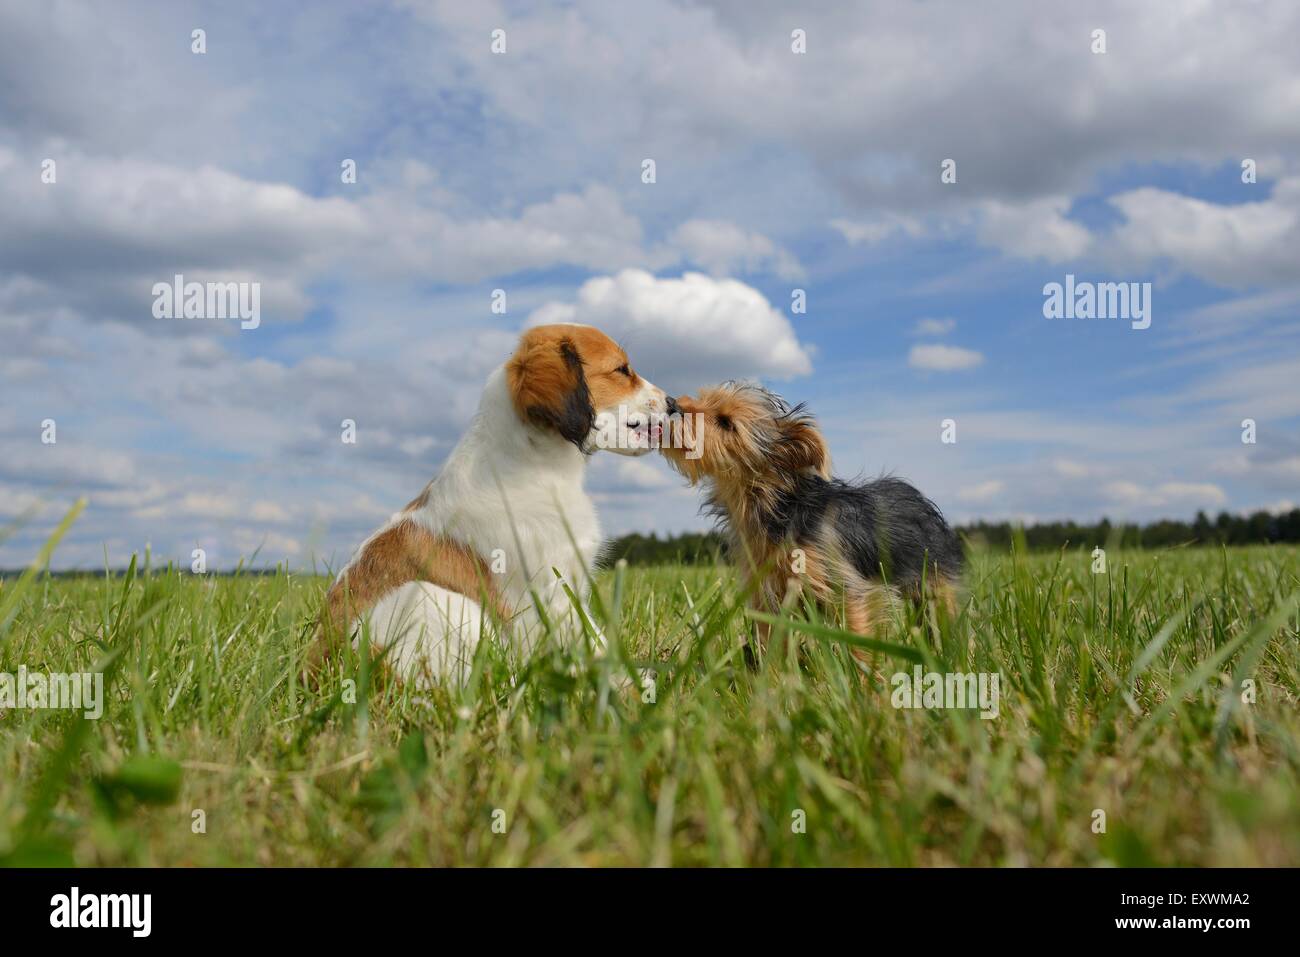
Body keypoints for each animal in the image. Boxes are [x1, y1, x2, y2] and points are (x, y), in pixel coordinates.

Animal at [306, 325, 670, 686]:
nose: (673, 405)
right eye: (622, 370)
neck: (534, 462)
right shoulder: (551, 592)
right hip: (430, 597)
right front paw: (630, 686)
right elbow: (595, 646)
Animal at [665, 382, 961, 642]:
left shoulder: (848, 589)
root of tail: (919, 498)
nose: (673, 404)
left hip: (935, 581)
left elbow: (859, 639)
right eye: (702, 398)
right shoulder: (766, 596)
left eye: (726, 422)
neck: (774, 505)